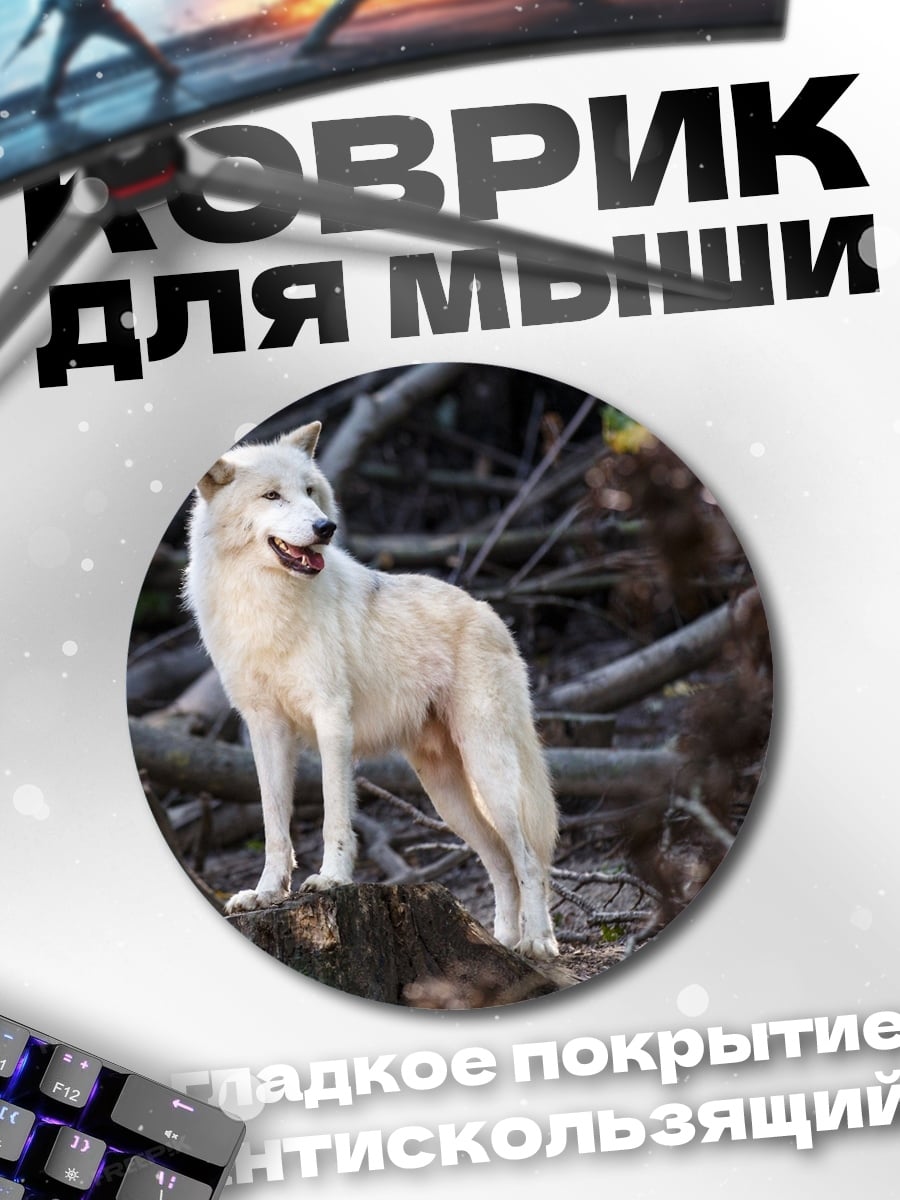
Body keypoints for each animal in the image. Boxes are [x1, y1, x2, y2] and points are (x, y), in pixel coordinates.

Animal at [184, 422, 559, 960]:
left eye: (310, 491)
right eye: (272, 495)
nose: (325, 528)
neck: (265, 602)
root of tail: (491, 614)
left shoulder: (331, 720)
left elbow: (334, 817)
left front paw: (331, 880)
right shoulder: (265, 729)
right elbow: (275, 826)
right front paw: (266, 892)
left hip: (490, 773)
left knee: (529, 858)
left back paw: (538, 943)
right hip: (446, 794)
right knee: (500, 863)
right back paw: (503, 943)